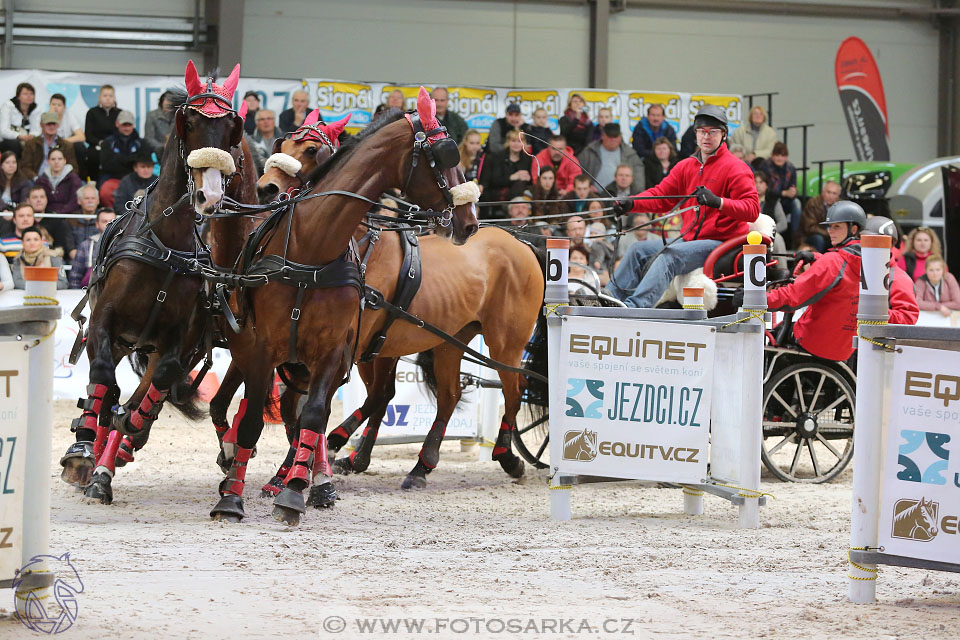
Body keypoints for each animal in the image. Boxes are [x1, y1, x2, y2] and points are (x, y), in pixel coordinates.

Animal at [57, 58, 253, 504]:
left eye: (230, 129)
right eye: (190, 122)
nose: (209, 195)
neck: (165, 243)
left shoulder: (180, 339)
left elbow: (157, 382)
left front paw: (128, 428)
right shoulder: (104, 322)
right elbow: (100, 377)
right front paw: (82, 452)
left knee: (143, 393)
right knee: (105, 387)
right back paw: (91, 456)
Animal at [211, 86, 480, 524]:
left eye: (311, 150)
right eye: (281, 144)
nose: (469, 218)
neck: (312, 249)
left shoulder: (336, 348)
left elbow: (313, 415)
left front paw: (300, 488)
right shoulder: (261, 346)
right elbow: (252, 417)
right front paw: (234, 494)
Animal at [248, 119, 548, 490]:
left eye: (311, 150)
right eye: (284, 143)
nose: (266, 188)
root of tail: (522, 241)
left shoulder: (345, 348)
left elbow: (325, 407)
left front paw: (317, 460)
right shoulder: (353, 349)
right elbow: (303, 406)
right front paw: (295, 469)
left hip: (506, 343)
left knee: (514, 389)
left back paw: (507, 456)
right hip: (452, 340)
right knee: (449, 395)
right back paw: (420, 466)